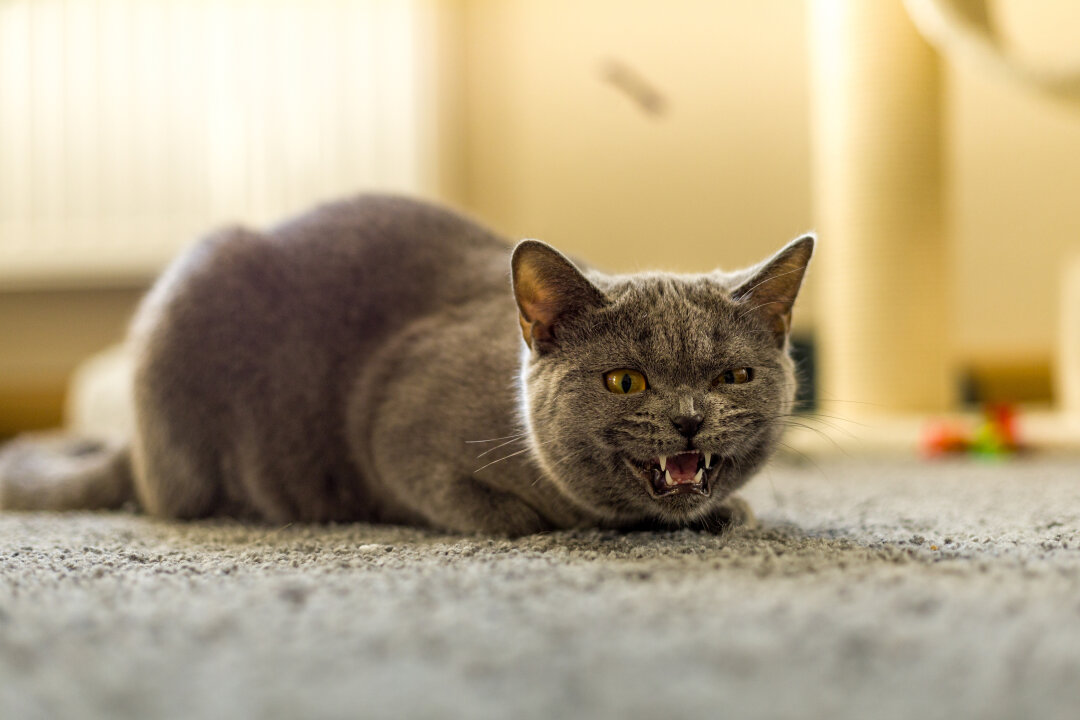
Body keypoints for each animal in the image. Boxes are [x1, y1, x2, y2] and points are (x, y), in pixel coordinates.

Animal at [0, 195, 812, 535]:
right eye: (626, 381)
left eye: (733, 377)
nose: (689, 420)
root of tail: (133, 448)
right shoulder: (392, 427)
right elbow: (482, 509)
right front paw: (528, 521)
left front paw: (729, 511)